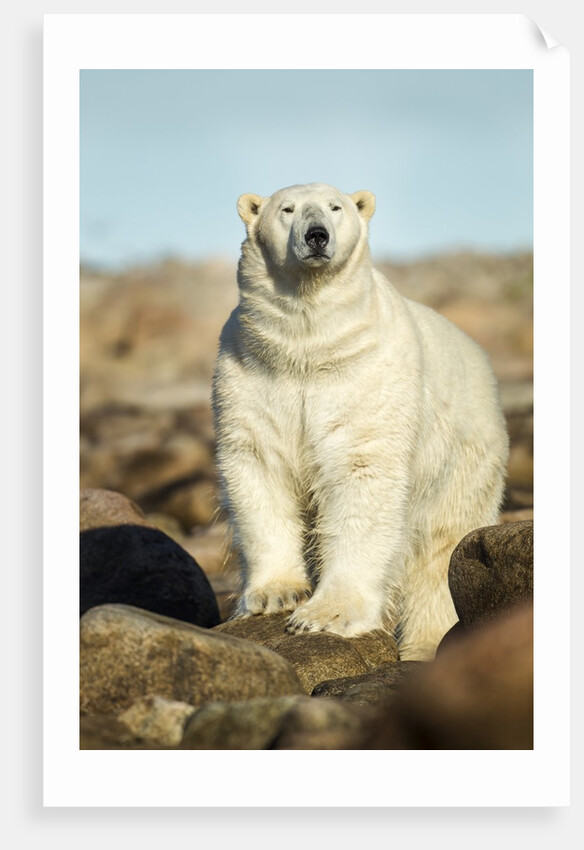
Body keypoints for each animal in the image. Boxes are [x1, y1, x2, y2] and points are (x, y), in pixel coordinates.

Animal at [211, 182, 509, 660]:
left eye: (336, 207)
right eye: (287, 209)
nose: (316, 235)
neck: (309, 345)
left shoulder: (367, 379)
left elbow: (361, 473)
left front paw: (325, 615)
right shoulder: (250, 376)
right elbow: (260, 466)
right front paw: (276, 594)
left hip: (464, 459)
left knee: (440, 549)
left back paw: (424, 645)